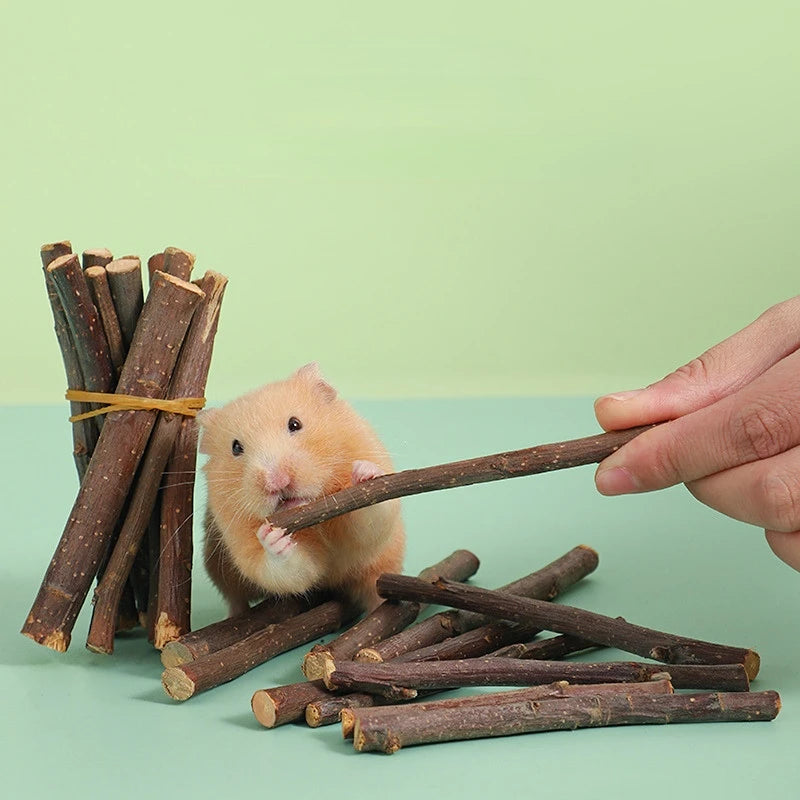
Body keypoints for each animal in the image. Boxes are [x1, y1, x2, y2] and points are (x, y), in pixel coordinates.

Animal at [197, 363, 405, 616]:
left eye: (295, 424)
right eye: (236, 448)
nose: (277, 481)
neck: (312, 512)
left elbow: (369, 522)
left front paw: (364, 473)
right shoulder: (242, 538)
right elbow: (289, 570)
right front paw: (272, 537)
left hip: (383, 564)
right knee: (236, 599)